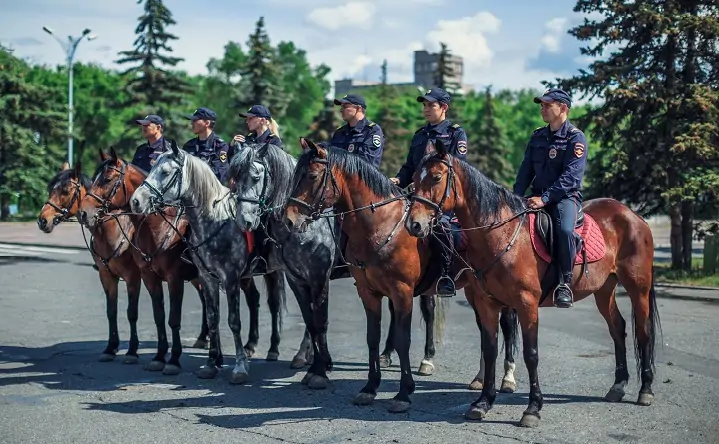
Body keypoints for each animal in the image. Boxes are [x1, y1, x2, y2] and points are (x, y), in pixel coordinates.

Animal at [131, 140, 288, 384]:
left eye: (165, 172)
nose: (136, 201)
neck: (214, 221)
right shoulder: (207, 278)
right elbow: (213, 318)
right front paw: (211, 363)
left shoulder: (230, 279)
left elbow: (233, 321)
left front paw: (239, 367)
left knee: (278, 304)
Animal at [280, 139, 516, 412]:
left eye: (311, 175)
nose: (289, 219)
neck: (381, 226)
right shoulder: (368, 292)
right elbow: (372, 337)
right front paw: (369, 388)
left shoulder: (401, 292)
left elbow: (403, 340)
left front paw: (403, 393)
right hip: (474, 291)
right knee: (485, 330)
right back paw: (479, 379)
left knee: (507, 326)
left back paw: (508, 377)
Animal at [404, 141, 664, 426]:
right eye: (414, 178)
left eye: (436, 177)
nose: (413, 224)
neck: (500, 234)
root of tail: (632, 215)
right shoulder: (487, 303)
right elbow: (490, 349)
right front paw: (483, 402)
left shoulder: (526, 304)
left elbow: (531, 353)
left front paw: (532, 408)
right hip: (603, 289)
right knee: (618, 328)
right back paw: (618, 386)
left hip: (638, 288)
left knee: (643, 332)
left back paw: (646, 389)